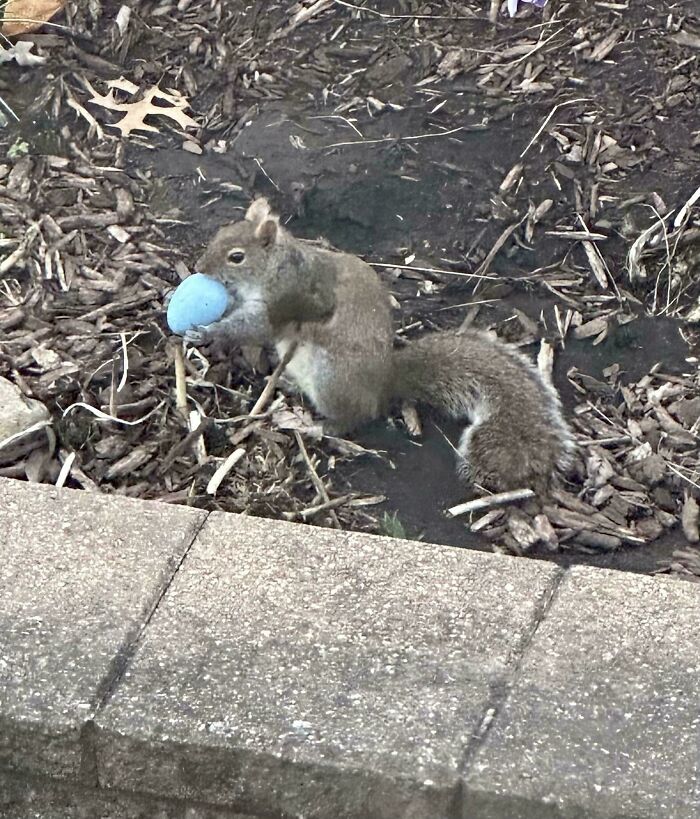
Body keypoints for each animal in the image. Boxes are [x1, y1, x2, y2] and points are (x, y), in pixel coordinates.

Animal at [187, 198, 575, 495]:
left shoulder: (285, 302)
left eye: (237, 257)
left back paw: (315, 425)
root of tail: (386, 382)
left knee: (355, 417)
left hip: (332, 379)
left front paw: (207, 332)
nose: (198, 267)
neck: (277, 266)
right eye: (219, 234)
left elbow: (252, 327)